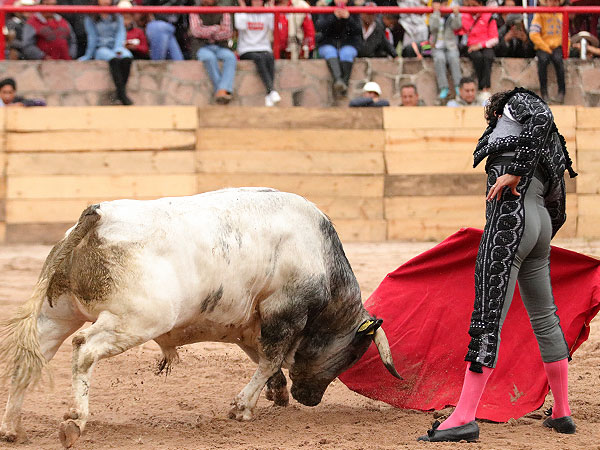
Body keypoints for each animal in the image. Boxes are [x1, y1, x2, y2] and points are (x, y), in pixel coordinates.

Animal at [1, 187, 404, 446]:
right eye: (353, 354)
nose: (311, 399)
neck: (321, 258)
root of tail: (99, 215)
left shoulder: (250, 320)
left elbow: (262, 357)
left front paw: (275, 393)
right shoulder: (283, 312)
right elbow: (271, 357)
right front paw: (242, 407)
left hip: (58, 314)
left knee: (30, 358)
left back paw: (12, 428)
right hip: (136, 320)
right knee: (84, 349)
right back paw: (74, 420)